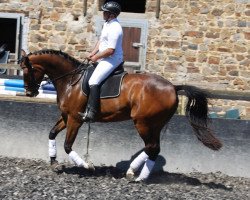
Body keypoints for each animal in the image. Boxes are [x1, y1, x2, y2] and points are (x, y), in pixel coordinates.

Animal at [20, 49, 223, 182]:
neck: (71, 81)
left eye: (27, 70)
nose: (30, 92)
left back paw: (135, 175)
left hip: (142, 122)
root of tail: (173, 87)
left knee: (151, 146)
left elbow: (67, 145)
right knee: (154, 148)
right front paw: (54, 163)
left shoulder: (76, 119)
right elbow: (52, 134)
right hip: (154, 124)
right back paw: (137, 174)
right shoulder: (66, 117)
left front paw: (87, 166)